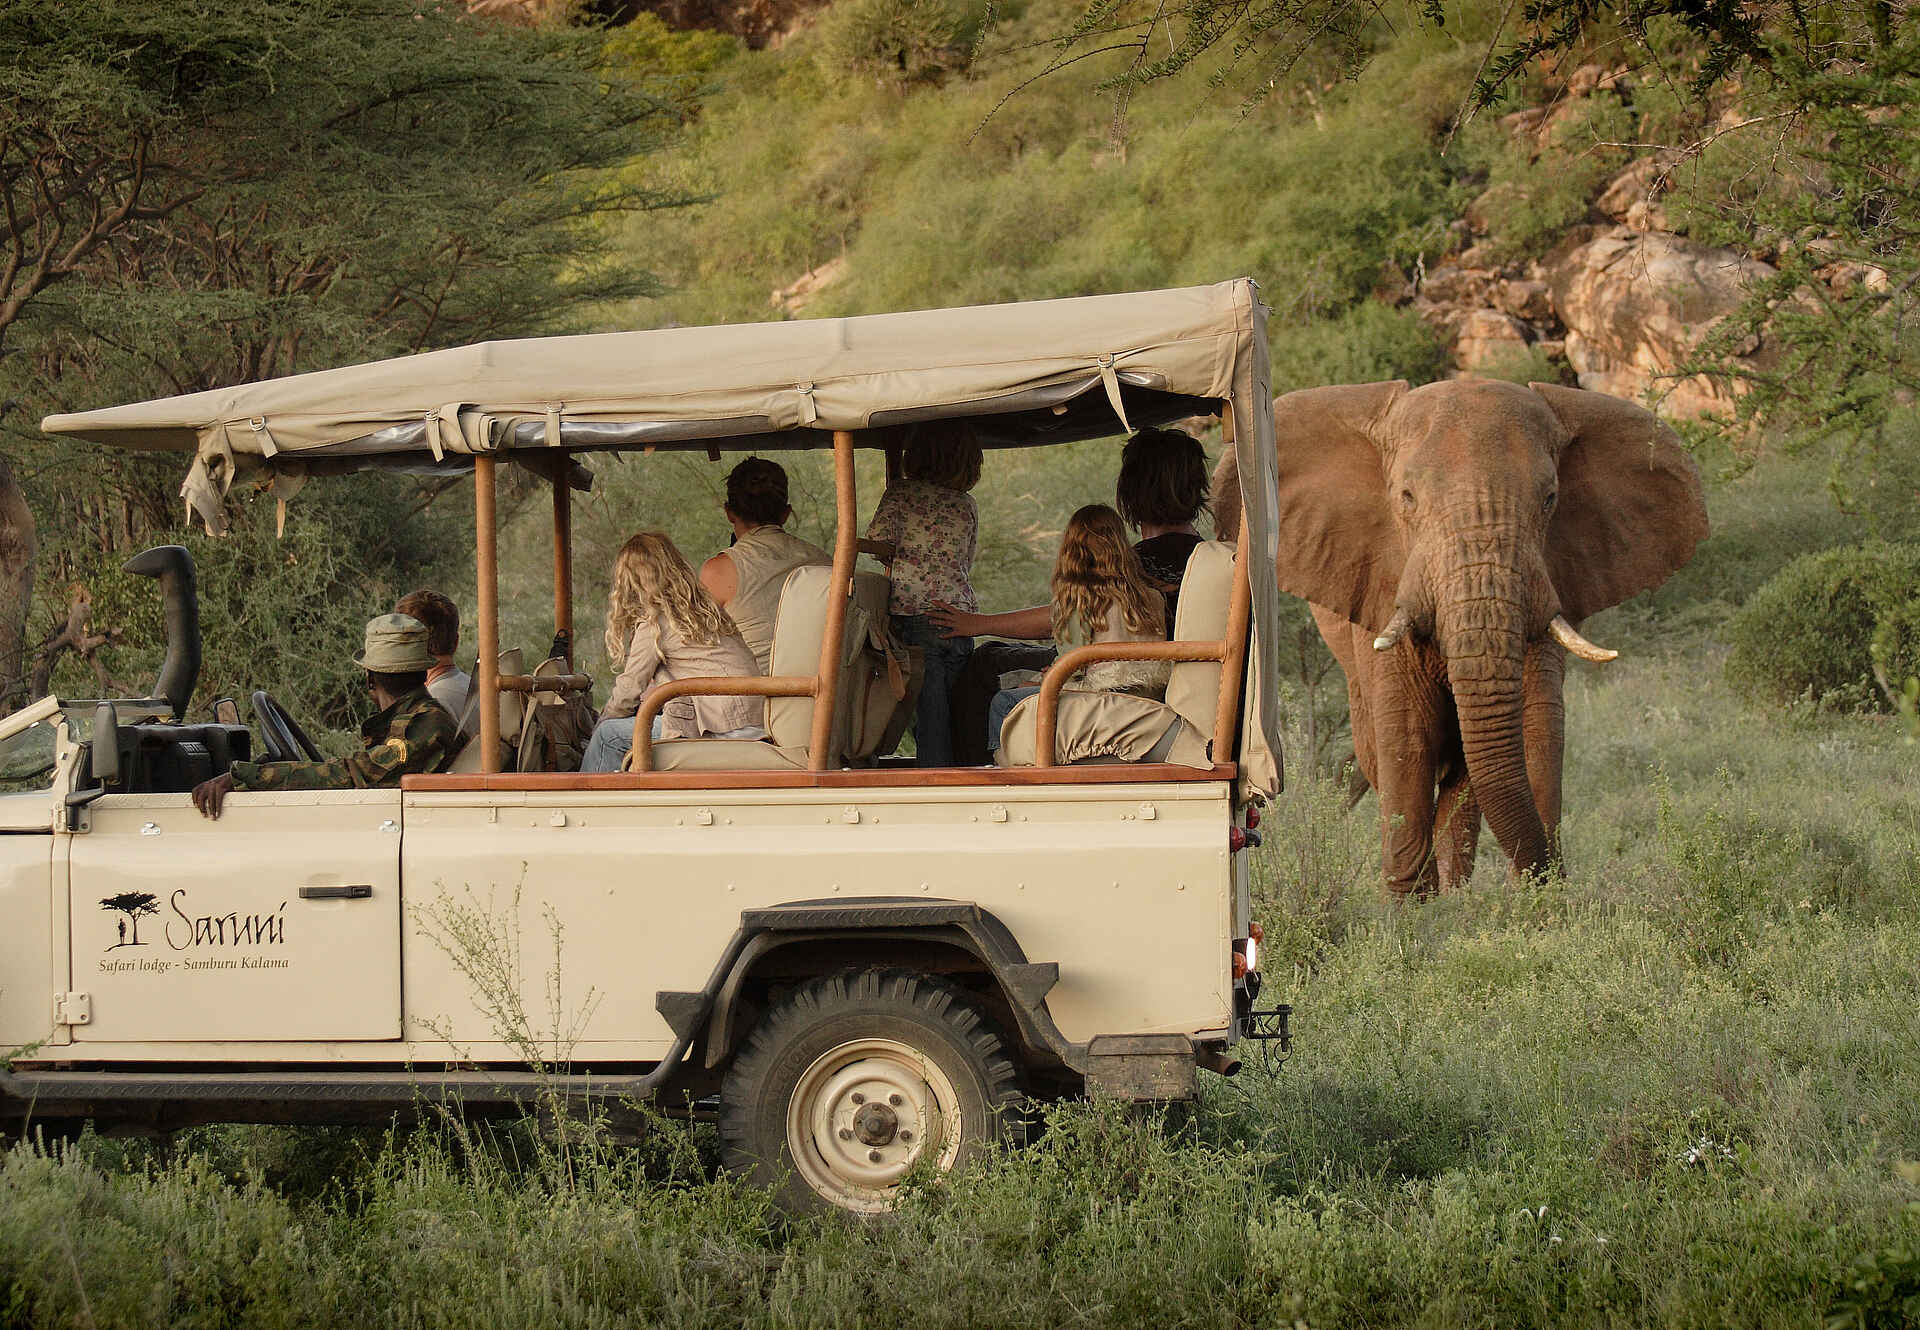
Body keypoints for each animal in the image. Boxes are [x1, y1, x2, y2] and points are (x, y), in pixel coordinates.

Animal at [1215, 378, 1708, 895]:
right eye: (1407, 497)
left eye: (1550, 499)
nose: (1547, 875)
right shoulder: (1384, 583)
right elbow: (1407, 732)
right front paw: (1413, 905)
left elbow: (1538, 723)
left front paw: (1539, 901)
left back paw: (1457, 890)